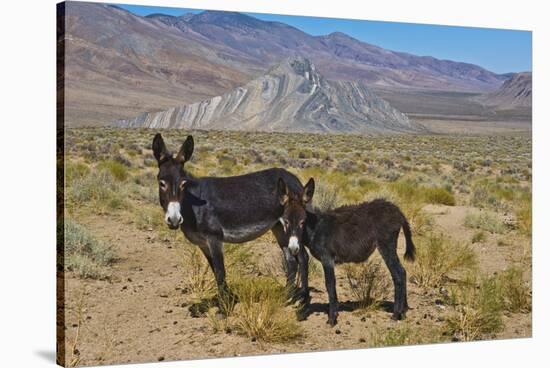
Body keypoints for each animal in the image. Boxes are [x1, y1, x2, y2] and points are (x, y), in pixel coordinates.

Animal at [278, 178, 416, 324]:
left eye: (302, 221)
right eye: (285, 221)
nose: (293, 248)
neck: (315, 228)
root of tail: (398, 211)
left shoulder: (327, 258)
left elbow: (330, 284)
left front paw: (332, 319)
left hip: (386, 245)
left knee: (398, 274)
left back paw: (396, 314)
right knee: (403, 271)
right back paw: (403, 311)